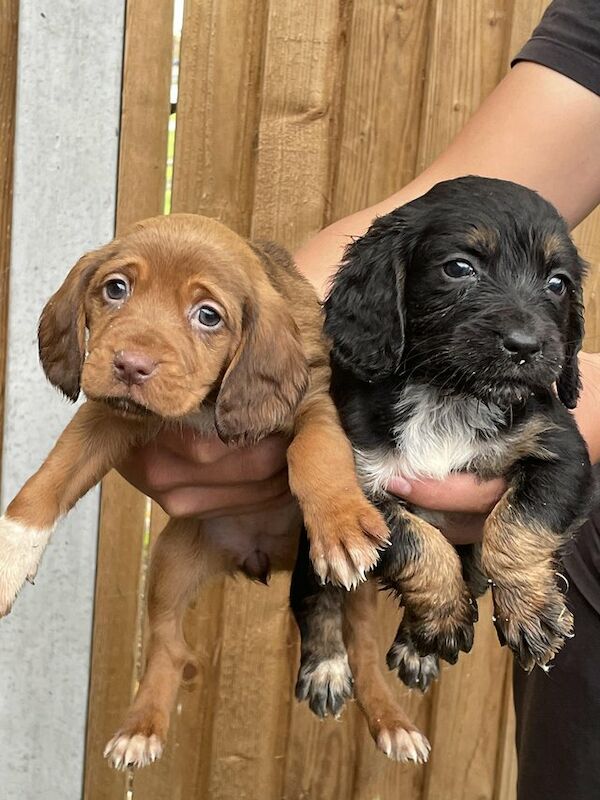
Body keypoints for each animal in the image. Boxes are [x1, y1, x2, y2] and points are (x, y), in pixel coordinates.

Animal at [0, 214, 390, 768]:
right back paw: (140, 730)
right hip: (170, 565)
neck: (205, 406)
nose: (131, 365)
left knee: (367, 650)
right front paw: (12, 552)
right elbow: (51, 476)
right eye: (116, 289)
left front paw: (339, 524)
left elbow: (316, 451)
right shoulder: (105, 418)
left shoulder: (314, 402)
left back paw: (394, 724)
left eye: (208, 316)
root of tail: (263, 557)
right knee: (169, 648)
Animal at [292, 175, 596, 712]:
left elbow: (518, 525)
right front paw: (443, 616)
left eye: (558, 283)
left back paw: (416, 647)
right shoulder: (360, 486)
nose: (526, 347)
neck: (450, 394)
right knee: (316, 594)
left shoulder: (563, 457)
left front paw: (531, 614)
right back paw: (327, 666)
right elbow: (414, 543)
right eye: (458, 268)